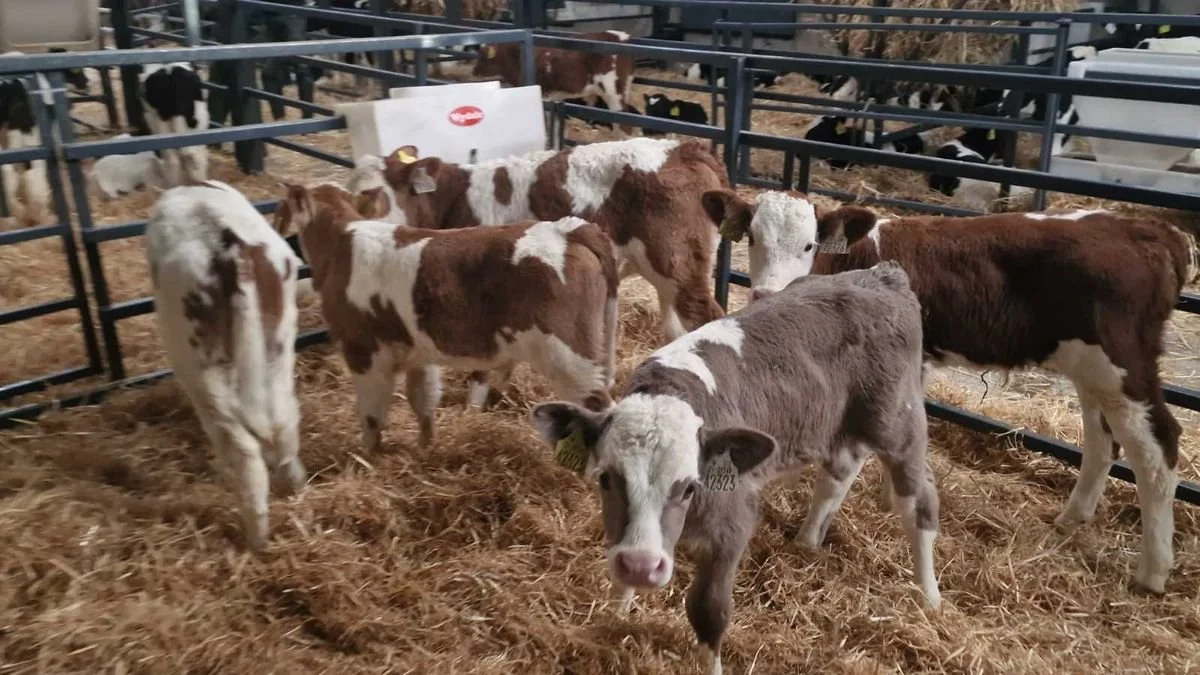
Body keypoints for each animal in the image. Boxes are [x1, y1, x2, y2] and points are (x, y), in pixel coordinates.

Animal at [146, 180, 305, 552]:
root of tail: (233, 247)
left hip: (199, 362)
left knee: (241, 447)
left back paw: (256, 538)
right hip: (278, 343)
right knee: (284, 420)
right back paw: (293, 488)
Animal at [272, 183, 620, 451]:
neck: (341, 244)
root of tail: (567, 229)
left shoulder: (364, 351)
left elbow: (372, 416)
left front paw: (367, 459)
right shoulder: (417, 353)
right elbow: (423, 401)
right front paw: (426, 447)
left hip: (569, 357)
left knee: (603, 408)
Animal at [473, 30, 635, 121]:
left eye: (483, 57)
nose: (473, 72)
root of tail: (622, 37)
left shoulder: (543, 95)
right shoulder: (555, 98)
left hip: (613, 92)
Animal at [530, 261, 940, 675]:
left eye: (689, 486)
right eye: (606, 478)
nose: (642, 567)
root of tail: (882, 275)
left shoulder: (733, 524)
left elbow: (708, 611)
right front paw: (616, 613)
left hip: (898, 424)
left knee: (918, 502)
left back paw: (929, 596)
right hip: (841, 426)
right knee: (838, 475)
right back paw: (807, 541)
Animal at [701, 189, 1196, 596]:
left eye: (809, 245)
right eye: (751, 238)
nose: (766, 294)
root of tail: (1152, 229)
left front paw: (813, 537)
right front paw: (890, 496)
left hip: (1124, 364)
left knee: (1157, 448)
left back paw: (1153, 572)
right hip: (1091, 369)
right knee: (1102, 439)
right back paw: (1073, 517)